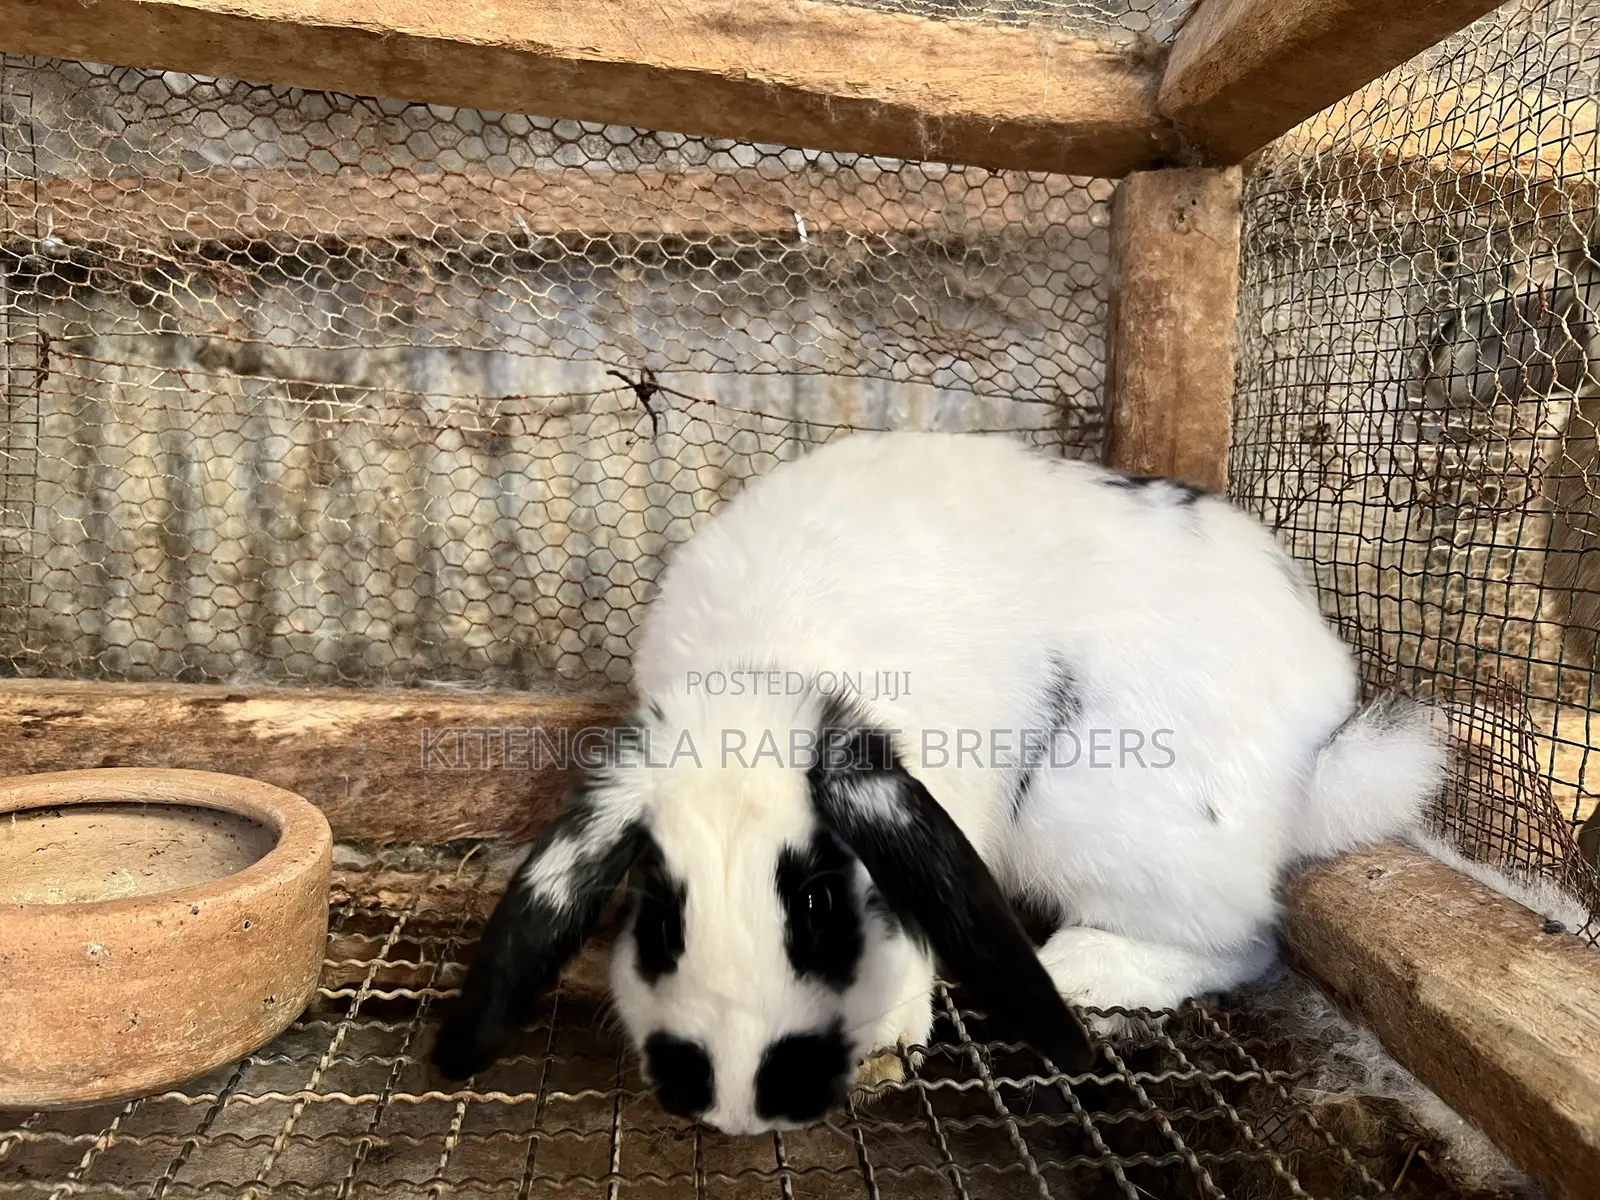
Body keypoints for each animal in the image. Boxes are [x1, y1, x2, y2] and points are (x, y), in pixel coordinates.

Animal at [431, 431, 1448, 1135]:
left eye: (824, 898)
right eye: (655, 905)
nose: (736, 1096)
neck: (763, 678)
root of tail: (1315, 741)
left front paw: (887, 1036)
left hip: (1099, 822)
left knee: (1242, 939)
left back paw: (1083, 968)